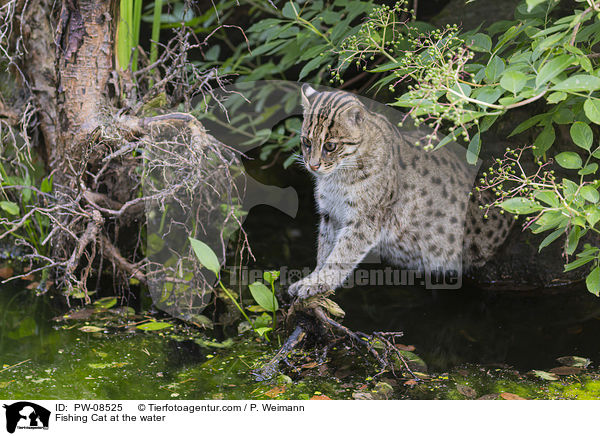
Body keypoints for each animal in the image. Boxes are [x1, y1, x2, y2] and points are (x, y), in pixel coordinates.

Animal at [288, 83, 512, 298]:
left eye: (330, 146)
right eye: (306, 142)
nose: (313, 166)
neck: (337, 176)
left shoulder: (364, 220)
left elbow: (341, 254)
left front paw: (319, 282)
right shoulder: (330, 214)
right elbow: (324, 248)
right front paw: (311, 278)